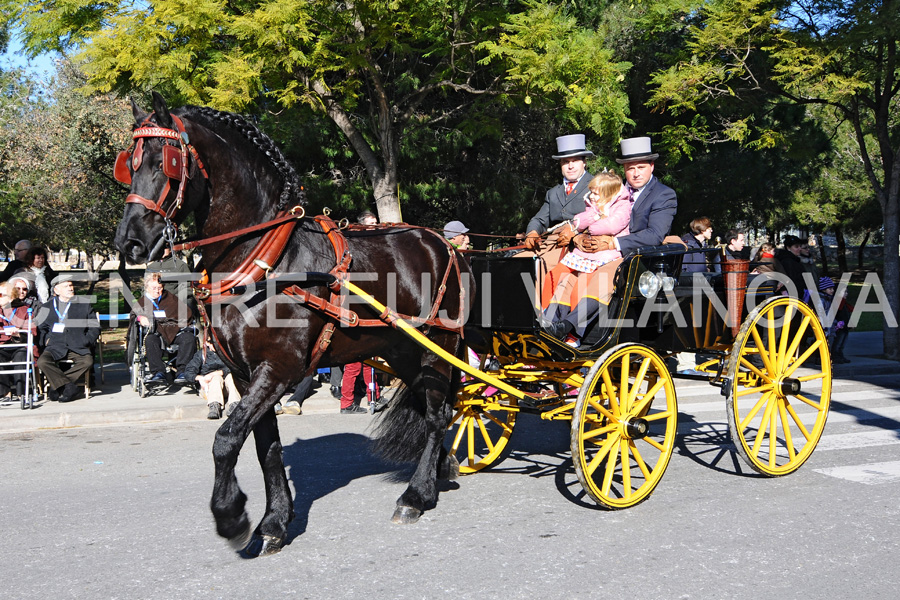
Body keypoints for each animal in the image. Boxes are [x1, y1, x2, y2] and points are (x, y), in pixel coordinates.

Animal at [114, 91, 472, 556]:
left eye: (165, 162)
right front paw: (274, 522)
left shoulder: (278, 369)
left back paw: (416, 494)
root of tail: (445, 245)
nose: (129, 242)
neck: (263, 259)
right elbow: (265, 447)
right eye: (130, 164)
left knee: (436, 413)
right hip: (403, 350)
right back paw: (442, 469)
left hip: (437, 347)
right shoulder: (246, 375)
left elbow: (225, 440)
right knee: (435, 408)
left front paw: (232, 516)